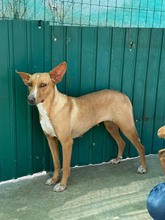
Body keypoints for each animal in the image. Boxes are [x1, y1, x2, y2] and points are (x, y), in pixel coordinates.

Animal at [16, 61, 146, 191]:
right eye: (29, 84)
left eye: (43, 85)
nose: (30, 99)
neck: (51, 107)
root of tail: (123, 95)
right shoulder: (51, 139)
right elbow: (57, 163)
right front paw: (54, 180)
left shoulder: (67, 142)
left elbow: (65, 165)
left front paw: (62, 185)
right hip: (110, 126)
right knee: (121, 142)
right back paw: (118, 159)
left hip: (127, 127)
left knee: (140, 147)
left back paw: (143, 168)